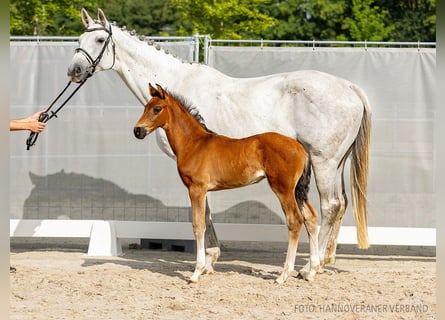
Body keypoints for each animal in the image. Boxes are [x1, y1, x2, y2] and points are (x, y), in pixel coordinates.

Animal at [133, 84, 320, 284]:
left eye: (157, 109)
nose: (137, 131)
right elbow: (205, 222)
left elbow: (198, 225)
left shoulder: (196, 189)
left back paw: (283, 275)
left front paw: (196, 273)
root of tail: (300, 148)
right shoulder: (203, 191)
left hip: (283, 188)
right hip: (298, 190)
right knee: (311, 218)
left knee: (295, 220)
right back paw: (311, 272)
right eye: (145, 107)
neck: (194, 144)